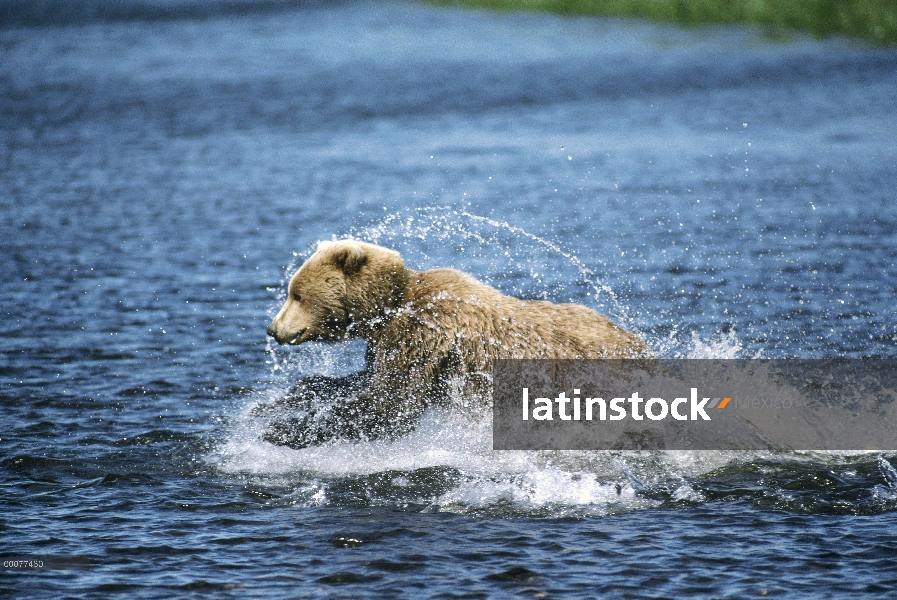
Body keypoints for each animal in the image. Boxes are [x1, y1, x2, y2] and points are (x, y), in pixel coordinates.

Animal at [260, 239, 652, 446]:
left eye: (296, 294)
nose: (272, 329)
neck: (390, 306)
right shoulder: (392, 343)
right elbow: (367, 382)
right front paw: (279, 403)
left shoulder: (423, 335)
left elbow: (390, 403)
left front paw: (285, 430)